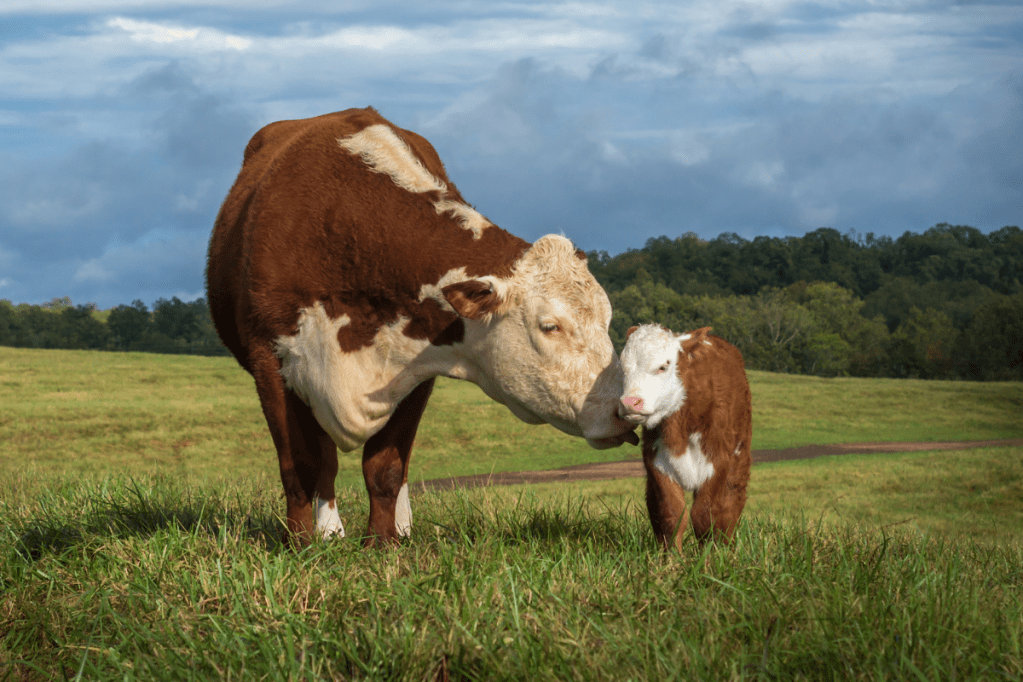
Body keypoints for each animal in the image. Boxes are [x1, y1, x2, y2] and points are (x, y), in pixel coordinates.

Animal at [206, 107, 637, 548]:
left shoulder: (415, 369)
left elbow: (386, 467)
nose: (622, 409)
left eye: (607, 320)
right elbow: (302, 465)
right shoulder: (270, 362)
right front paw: (302, 544)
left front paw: (383, 543)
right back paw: (329, 532)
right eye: (550, 326)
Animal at [618, 324, 752, 551]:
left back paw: (728, 547)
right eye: (623, 368)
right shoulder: (657, 462)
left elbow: (705, 515)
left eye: (663, 367)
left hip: (739, 461)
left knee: (731, 505)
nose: (629, 402)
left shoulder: (718, 461)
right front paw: (672, 557)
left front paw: (709, 556)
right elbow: (672, 514)